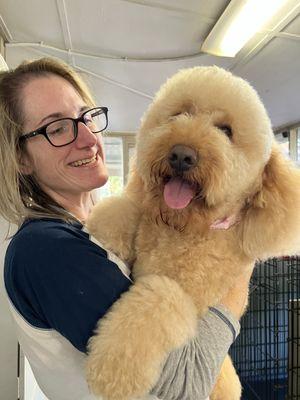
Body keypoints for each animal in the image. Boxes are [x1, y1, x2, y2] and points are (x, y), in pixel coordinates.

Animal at [85, 67, 300, 398]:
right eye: (180, 113)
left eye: (226, 130)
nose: (181, 155)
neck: (184, 228)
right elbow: (128, 208)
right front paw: (102, 225)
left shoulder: (189, 297)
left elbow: (162, 296)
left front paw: (113, 370)